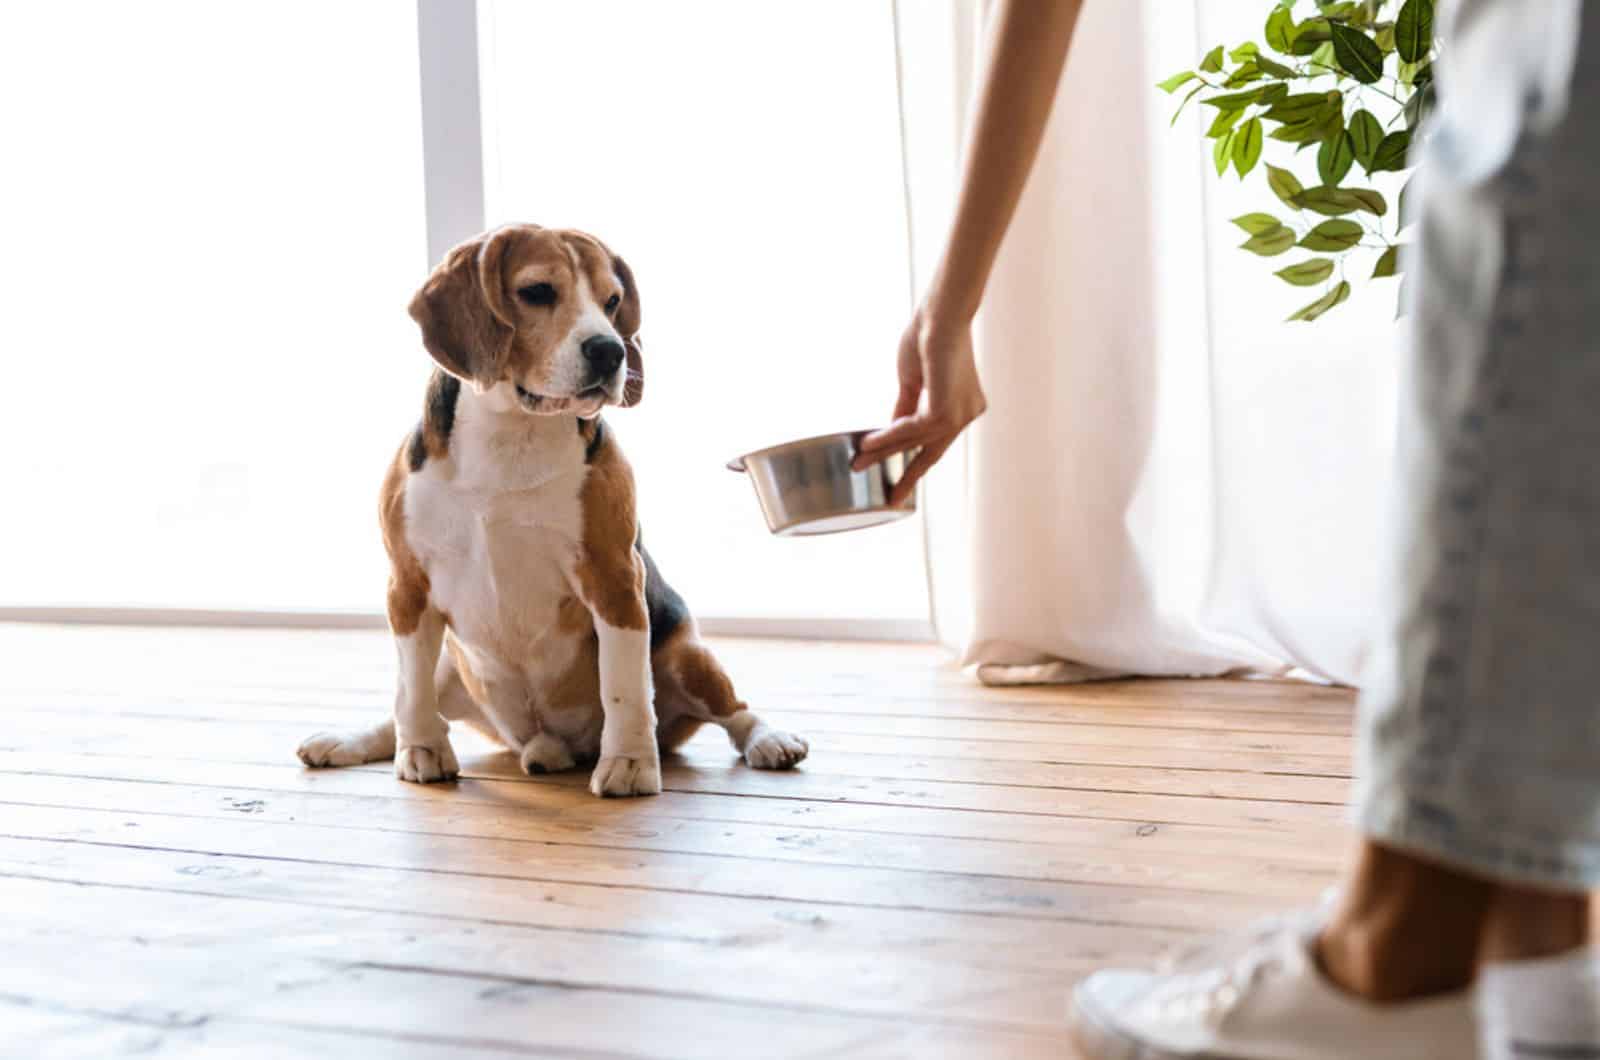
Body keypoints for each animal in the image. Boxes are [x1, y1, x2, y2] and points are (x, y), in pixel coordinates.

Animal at [296, 222, 806, 797]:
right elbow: (409, 690)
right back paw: (351, 740)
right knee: (418, 699)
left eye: (612, 301)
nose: (611, 351)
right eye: (537, 291)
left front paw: (630, 763)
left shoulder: (614, 578)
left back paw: (769, 739)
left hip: (683, 652)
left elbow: (625, 687)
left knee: (734, 710)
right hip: (452, 661)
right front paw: (422, 749)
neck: (513, 431)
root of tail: (549, 744)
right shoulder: (407, 583)